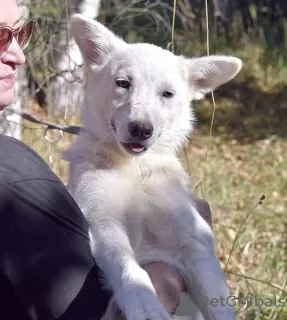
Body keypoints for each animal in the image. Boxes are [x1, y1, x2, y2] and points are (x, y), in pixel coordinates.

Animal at [63, 13, 243, 320]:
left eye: (167, 94)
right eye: (123, 83)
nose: (141, 129)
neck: (135, 168)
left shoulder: (195, 245)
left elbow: (219, 305)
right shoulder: (102, 222)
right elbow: (129, 268)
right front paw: (145, 305)